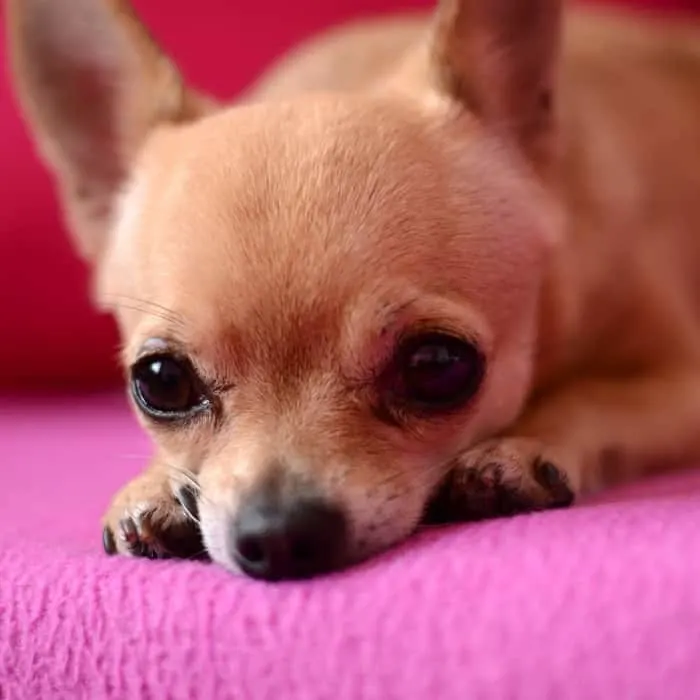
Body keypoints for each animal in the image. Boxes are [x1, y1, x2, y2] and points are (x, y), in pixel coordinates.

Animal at [6, 0, 700, 580]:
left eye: (438, 365)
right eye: (160, 380)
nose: (278, 531)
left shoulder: (681, 381)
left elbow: (596, 393)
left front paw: (524, 441)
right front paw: (153, 486)